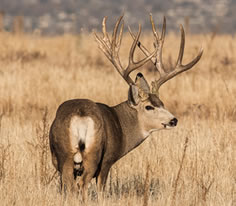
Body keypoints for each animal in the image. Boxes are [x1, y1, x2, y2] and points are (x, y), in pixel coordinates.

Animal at [49, 14, 203, 200]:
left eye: (162, 103)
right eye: (149, 107)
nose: (174, 120)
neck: (121, 125)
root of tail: (80, 115)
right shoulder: (108, 159)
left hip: (63, 155)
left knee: (70, 187)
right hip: (94, 155)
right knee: (83, 185)